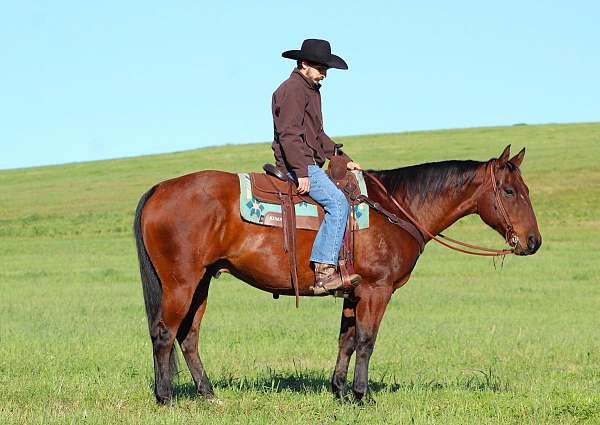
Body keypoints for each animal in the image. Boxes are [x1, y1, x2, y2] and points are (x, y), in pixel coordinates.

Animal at [134, 144, 540, 402]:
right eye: (509, 191)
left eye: (526, 189)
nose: (533, 241)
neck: (396, 207)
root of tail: (160, 189)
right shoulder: (377, 289)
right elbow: (367, 340)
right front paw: (362, 395)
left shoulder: (353, 292)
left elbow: (346, 340)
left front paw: (340, 391)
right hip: (181, 283)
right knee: (164, 333)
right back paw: (166, 397)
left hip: (202, 282)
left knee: (188, 336)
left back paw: (208, 394)